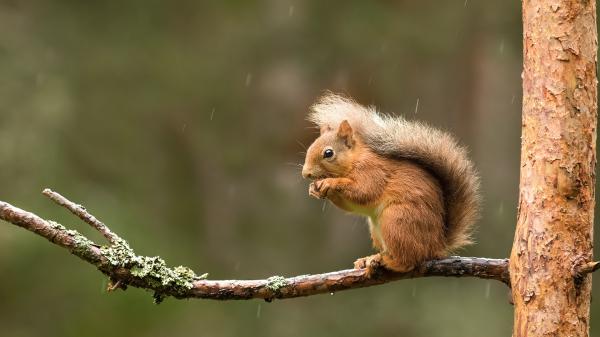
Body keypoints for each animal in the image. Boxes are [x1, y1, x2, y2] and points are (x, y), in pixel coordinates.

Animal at [302, 92, 480, 276]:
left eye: (328, 153)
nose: (305, 173)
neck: (354, 160)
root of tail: (436, 247)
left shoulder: (372, 172)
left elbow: (364, 191)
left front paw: (330, 182)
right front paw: (314, 189)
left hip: (396, 221)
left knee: (408, 261)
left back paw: (387, 261)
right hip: (378, 229)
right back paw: (369, 259)